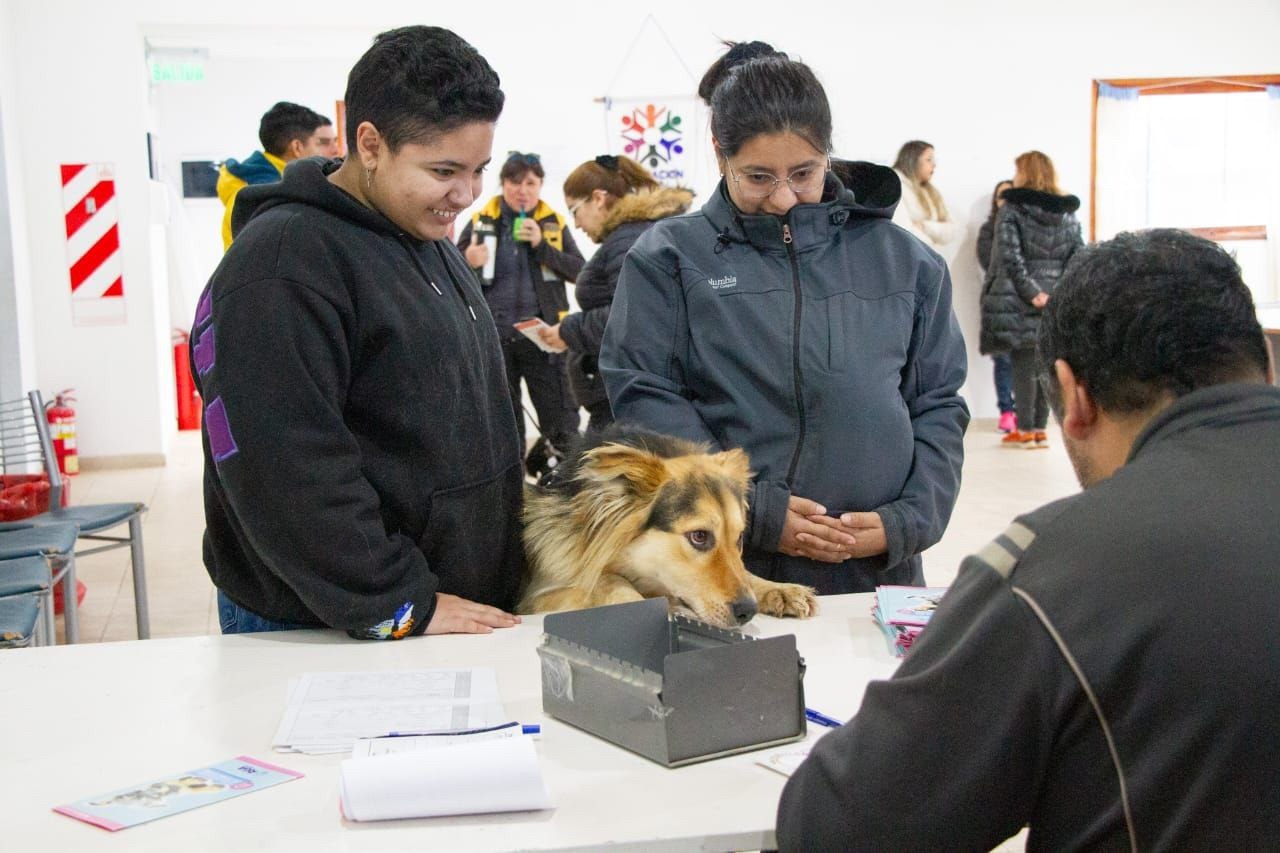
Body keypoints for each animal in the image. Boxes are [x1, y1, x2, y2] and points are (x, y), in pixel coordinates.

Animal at [522, 425, 814, 625]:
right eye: (699, 536)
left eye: (739, 538)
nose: (748, 611)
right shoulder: (538, 596)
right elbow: (601, 580)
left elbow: (745, 573)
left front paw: (780, 589)